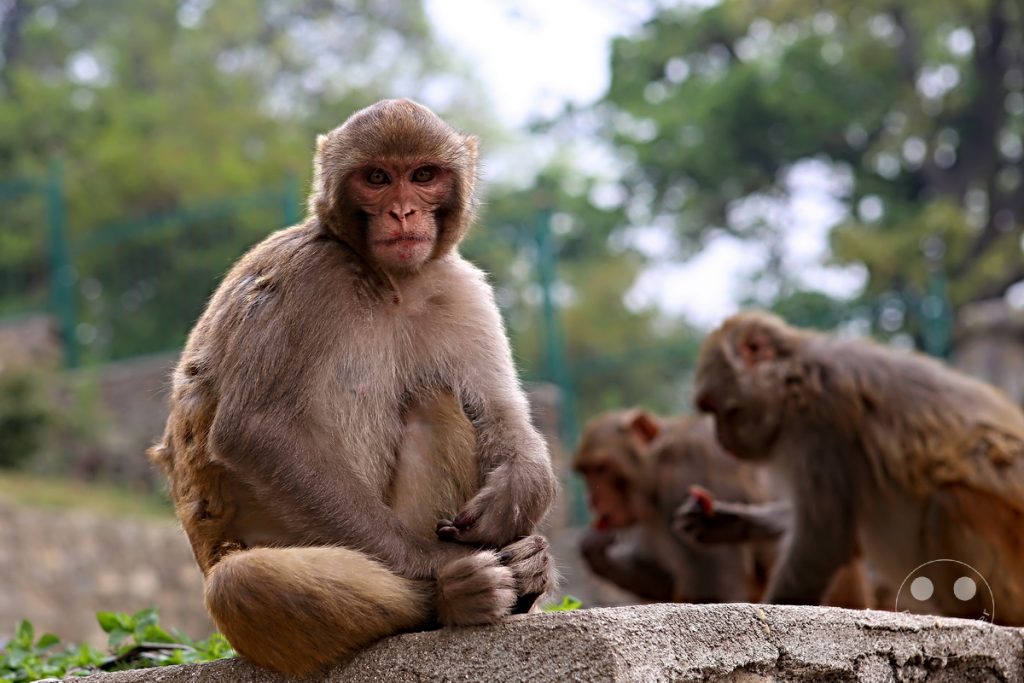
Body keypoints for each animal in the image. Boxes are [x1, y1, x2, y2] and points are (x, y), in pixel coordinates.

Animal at [148, 99, 557, 676]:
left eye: (423, 175)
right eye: (377, 178)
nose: (403, 212)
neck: (389, 282)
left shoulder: (458, 287)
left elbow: (500, 412)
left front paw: (520, 495)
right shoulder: (307, 275)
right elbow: (256, 429)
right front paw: (439, 563)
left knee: (436, 403)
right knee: (240, 582)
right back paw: (454, 593)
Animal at [572, 409, 774, 603]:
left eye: (601, 468)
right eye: (585, 471)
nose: (592, 499)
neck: (659, 465)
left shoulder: (690, 470)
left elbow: (720, 591)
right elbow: (666, 580)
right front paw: (595, 548)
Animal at [692, 310, 1024, 624]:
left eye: (717, 409)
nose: (719, 439)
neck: (794, 379)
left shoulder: (824, 415)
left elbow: (823, 538)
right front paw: (729, 520)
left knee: (951, 503)